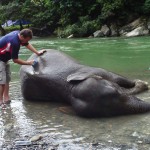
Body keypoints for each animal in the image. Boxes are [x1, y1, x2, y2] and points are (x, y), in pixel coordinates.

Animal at [19, 49, 150, 117]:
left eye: (115, 90)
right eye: (108, 113)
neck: (69, 88)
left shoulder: (91, 70)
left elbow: (118, 78)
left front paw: (143, 83)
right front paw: (143, 84)